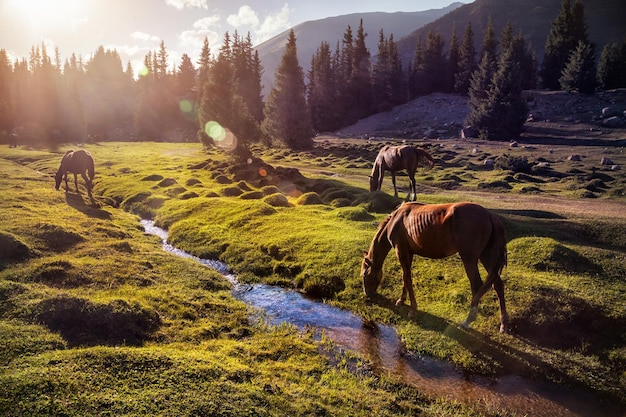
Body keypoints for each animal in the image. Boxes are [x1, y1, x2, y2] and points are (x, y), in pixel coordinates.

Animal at [360, 201, 508, 332]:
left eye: (365, 275)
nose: (367, 293)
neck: (396, 220)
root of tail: (489, 216)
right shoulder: (408, 253)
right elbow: (404, 276)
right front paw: (401, 300)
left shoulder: (400, 251)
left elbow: (407, 278)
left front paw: (413, 309)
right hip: (486, 256)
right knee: (498, 284)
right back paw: (503, 323)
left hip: (470, 259)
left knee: (477, 286)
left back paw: (467, 321)